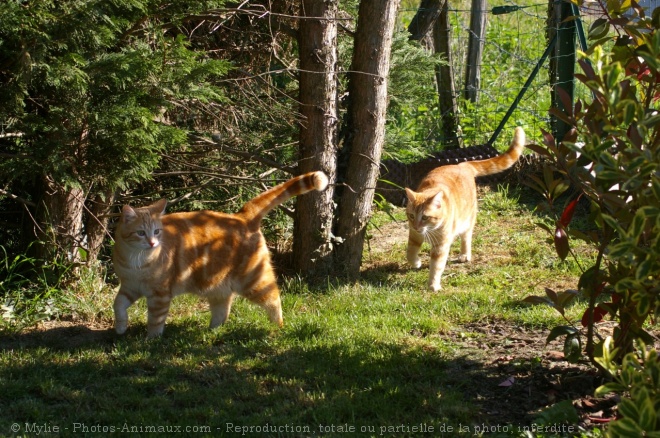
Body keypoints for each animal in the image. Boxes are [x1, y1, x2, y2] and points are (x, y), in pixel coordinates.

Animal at [115, 170, 330, 336]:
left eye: (157, 231)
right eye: (141, 233)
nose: (152, 243)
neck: (136, 261)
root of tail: (241, 216)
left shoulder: (159, 295)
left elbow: (155, 320)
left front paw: (151, 340)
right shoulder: (129, 287)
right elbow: (117, 304)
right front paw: (120, 328)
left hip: (254, 281)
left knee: (274, 299)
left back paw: (277, 327)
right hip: (216, 284)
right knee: (223, 309)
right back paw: (212, 331)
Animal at [402, 126, 524, 290]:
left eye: (425, 217)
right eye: (412, 216)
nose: (416, 226)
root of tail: (462, 165)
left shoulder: (441, 245)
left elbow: (437, 265)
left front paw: (433, 284)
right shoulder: (414, 236)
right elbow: (410, 252)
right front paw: (416, 263)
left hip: (467, 220)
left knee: (466, 237)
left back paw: (465, 254)